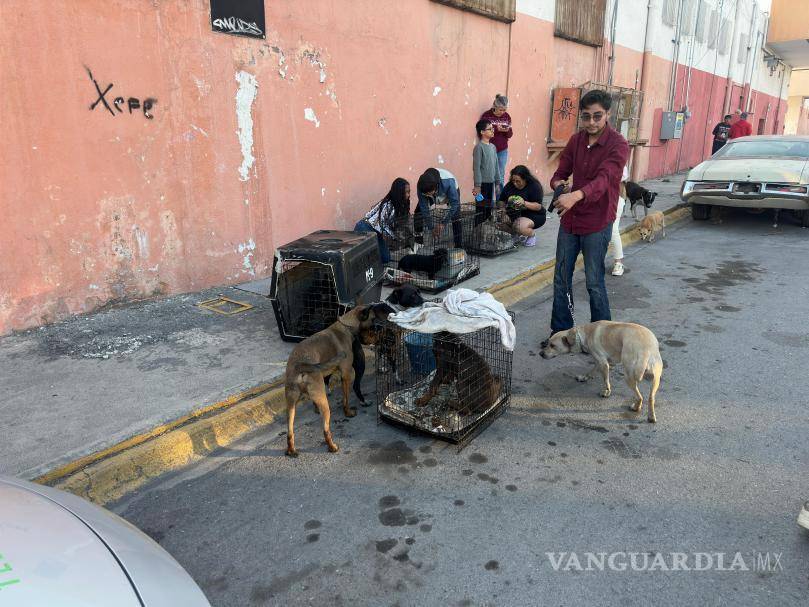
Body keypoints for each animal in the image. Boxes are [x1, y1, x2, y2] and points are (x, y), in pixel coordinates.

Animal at [284, 306, 378, 458]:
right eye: (373, 319)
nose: (379, 332)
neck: (346, 326)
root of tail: (300, 365)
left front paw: (315, 409)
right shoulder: (346, 376)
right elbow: (346, 399)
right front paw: (348, 412)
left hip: (291, 406)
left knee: (290, 432)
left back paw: (291, 450)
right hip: (324, 405)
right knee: (326, 430)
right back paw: (332, 447)